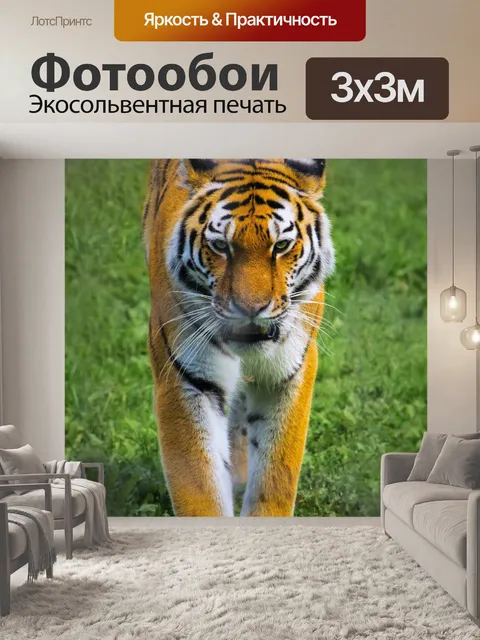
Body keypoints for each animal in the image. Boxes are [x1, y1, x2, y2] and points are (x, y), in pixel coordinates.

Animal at [142, 159, 335, 517]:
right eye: (221, 246)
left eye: (281, 246)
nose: (250, 309)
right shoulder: (186, 377)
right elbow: (199, 485)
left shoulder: (290, 372)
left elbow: (276, 475)